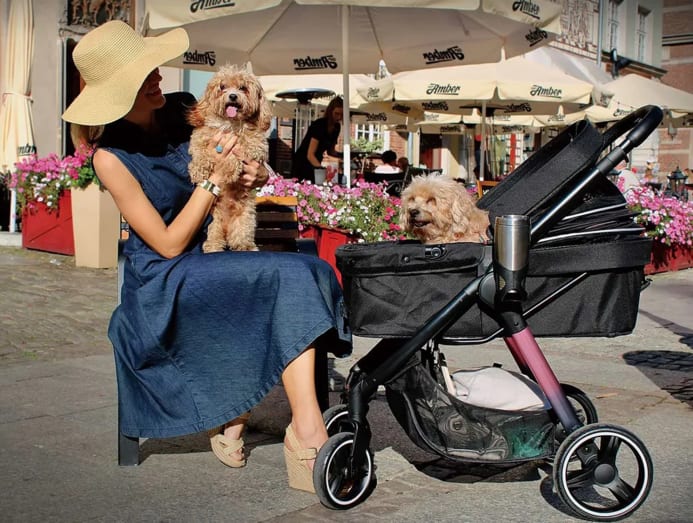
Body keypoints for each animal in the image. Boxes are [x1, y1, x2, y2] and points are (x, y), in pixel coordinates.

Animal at [187, 64, 272, 252]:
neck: (230, 125)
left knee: (240, 238)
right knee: (214, 238)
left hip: (246, 219)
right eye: (222, 87)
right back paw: (213, 247)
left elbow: (236, 151)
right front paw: (198, 170)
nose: (232, 96)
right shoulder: (200, 137)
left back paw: (247, 247)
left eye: (243, 88)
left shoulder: (256, 146)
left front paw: (230, 170)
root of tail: (226, 228)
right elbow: (199, 152)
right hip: (212, 222)